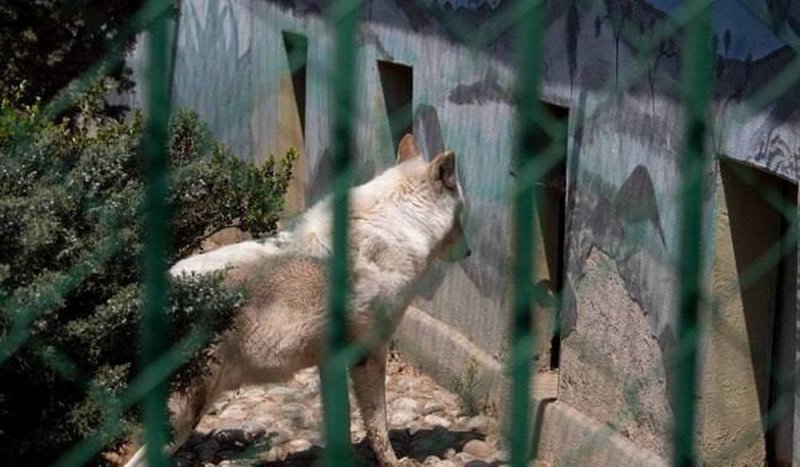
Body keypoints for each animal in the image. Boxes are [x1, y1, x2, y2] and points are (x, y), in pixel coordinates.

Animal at [125, 134, 469, 467]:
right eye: (462, 216)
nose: (467, 252)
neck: (399, 228)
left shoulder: (330, 362)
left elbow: (342, 424)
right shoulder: (369, 354)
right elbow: (378, 425)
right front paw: (392, 462)